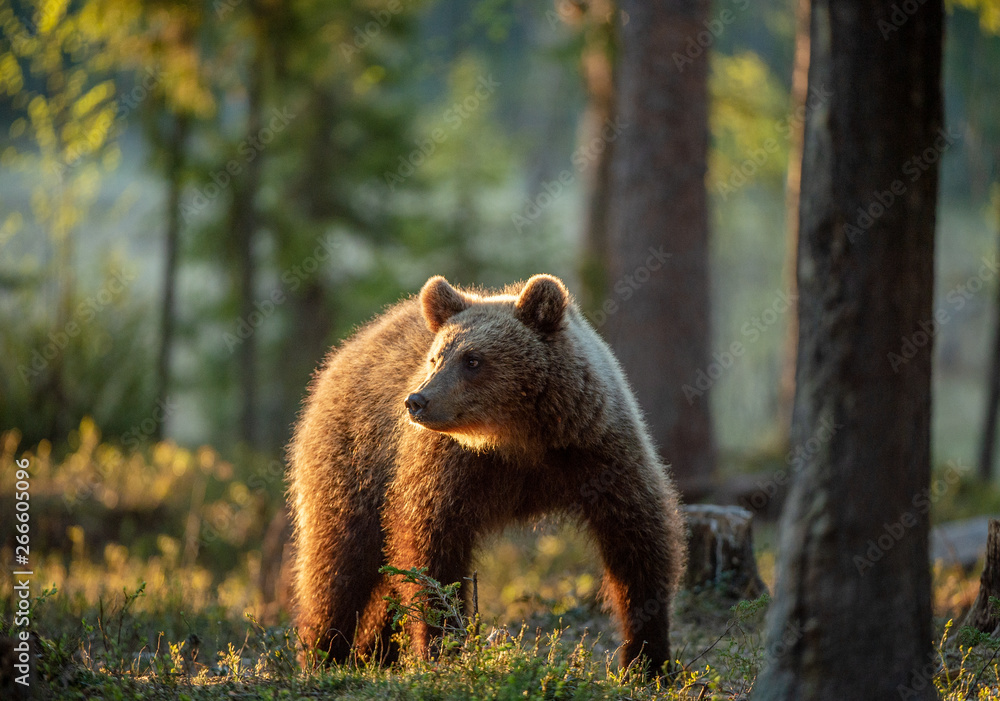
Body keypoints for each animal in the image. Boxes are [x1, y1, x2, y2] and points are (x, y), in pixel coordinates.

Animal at [287, 273, 686, 674]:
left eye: (473, 359)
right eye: (435, 357)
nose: (417, 400)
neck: (518, 440)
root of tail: (345, 352)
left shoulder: (595, 450)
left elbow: (637, 542)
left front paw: (648, 659)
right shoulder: (448, 468)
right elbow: (431, 549)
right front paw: (444, 645)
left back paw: (373, 653)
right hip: (354, 464)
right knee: (338, 563)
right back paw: (324, 653)